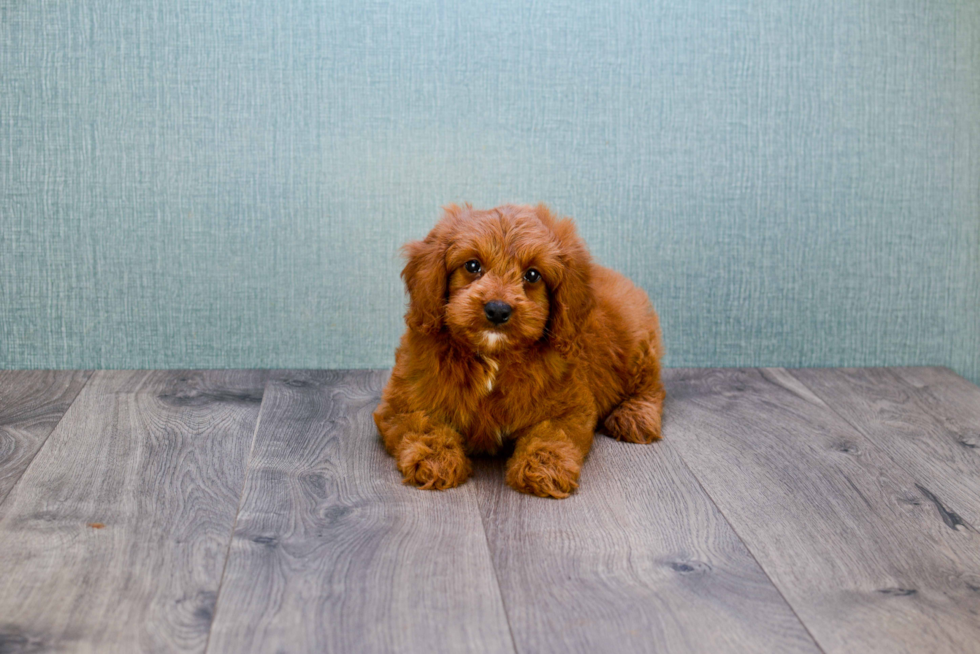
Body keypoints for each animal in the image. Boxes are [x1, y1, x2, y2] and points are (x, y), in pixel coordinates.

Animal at [376, 202, 668, 500]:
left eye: (532, 275)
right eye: (472, 266)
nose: (497, 309)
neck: (494, 357)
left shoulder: (570, 407)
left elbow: (551, 433)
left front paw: (544, 468)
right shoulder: (402, 402)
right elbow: (422, 424)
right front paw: (436, 460)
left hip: (637, 347)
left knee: (652, 387)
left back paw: (635, 417)